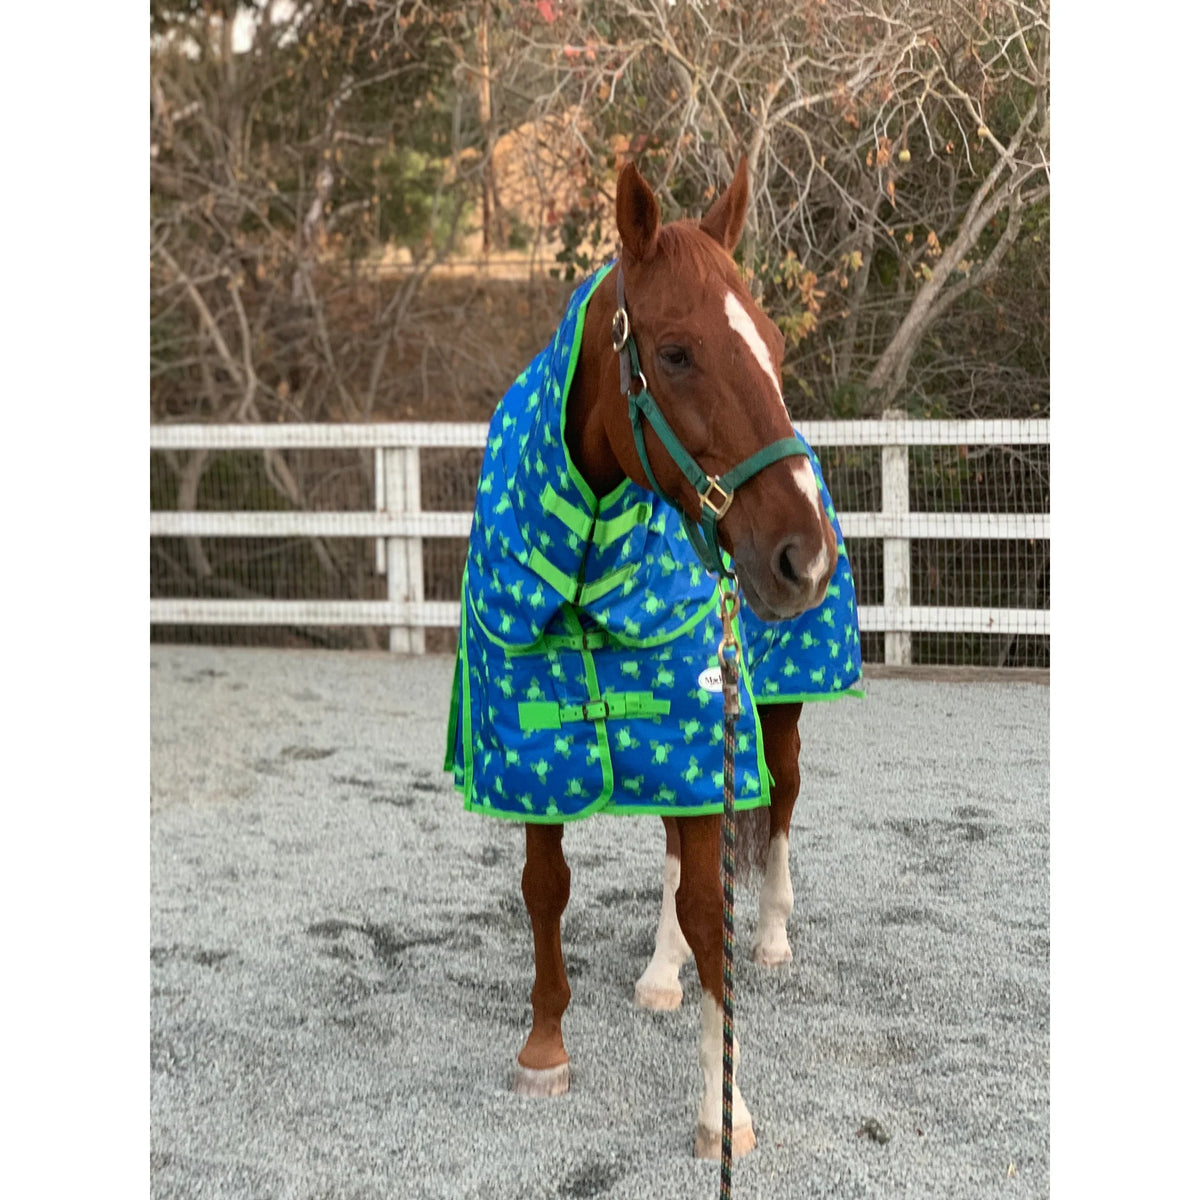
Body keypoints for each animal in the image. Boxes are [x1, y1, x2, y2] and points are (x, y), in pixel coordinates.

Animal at [445, 157, 861, 1159]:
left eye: (774, 346)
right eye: (675, 354)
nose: (805, 556)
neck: (591, 545)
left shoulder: (702, 721)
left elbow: (716, 908)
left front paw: (724, 1107)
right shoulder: (535, 743)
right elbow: (546, 886)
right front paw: (544, 1048)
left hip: (772, 711)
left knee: (783, 803)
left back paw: (774, 935)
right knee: (675, 846)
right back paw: (661, 969)